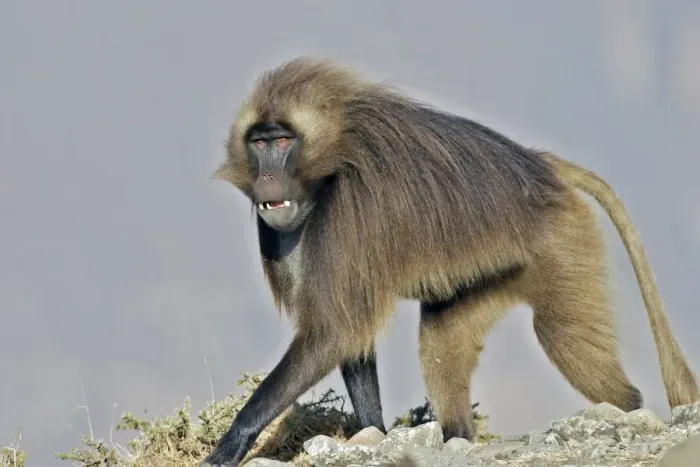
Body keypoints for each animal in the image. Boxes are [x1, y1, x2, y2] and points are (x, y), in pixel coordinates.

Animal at [201, 57, 699, 466]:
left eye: (283, 141)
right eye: (258, 143)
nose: (267, 178)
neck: (329, 165)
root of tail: (540, 165)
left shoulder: (349, 217)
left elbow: (335, 330)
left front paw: (232, 442)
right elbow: (351, 336)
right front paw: (374, 433)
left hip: (562, 242)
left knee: (563, 335)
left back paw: (630, 412)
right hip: (490, 273)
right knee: (441, 337)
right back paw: (457, 436)